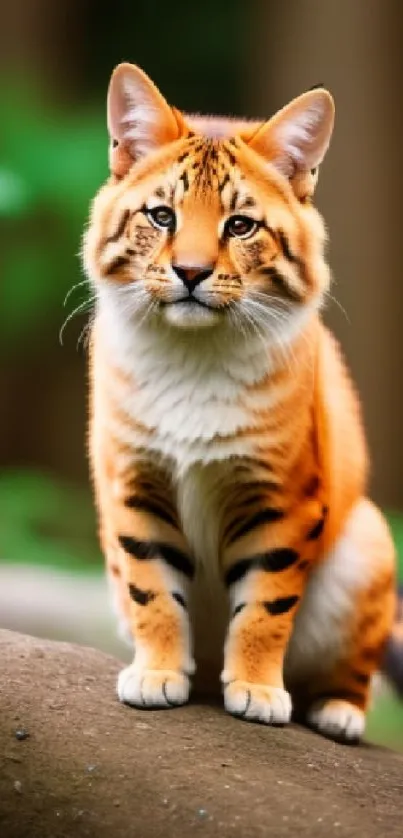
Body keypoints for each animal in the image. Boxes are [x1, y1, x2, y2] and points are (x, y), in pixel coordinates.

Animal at [83, 62, 400, 744]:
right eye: (162, 216)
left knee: (353, 668)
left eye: (240, 225)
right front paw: (158, 673)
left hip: (368, 539)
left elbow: (265, 604)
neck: (193, 353)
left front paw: (256, 689)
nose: (191, 274)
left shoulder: (281, 494)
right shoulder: (135, 483)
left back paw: (338, 711)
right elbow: (154, 591)